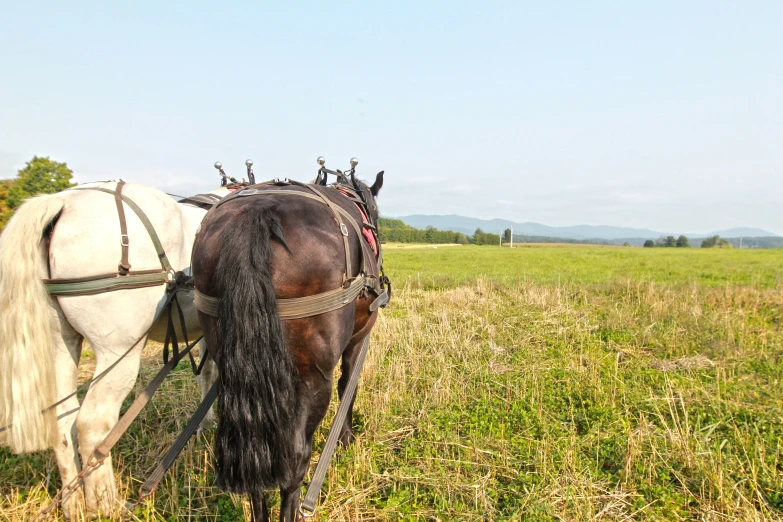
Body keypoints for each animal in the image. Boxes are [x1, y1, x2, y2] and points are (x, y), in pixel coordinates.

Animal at [0, 180, 224, 516]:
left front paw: (205, 424)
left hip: (60, 345)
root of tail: (62, 203)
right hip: (118, 352)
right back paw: (107, 504)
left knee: (63, 423)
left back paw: (73, 505)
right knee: (93, 424)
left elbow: (207, 373)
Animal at [191, 173, 384, 516]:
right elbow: (349, 387)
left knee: (253, 454)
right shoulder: (358, 340)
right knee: (295, 461)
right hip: (312, 376)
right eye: (375, 213)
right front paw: (346, 438)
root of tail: (256, 214)